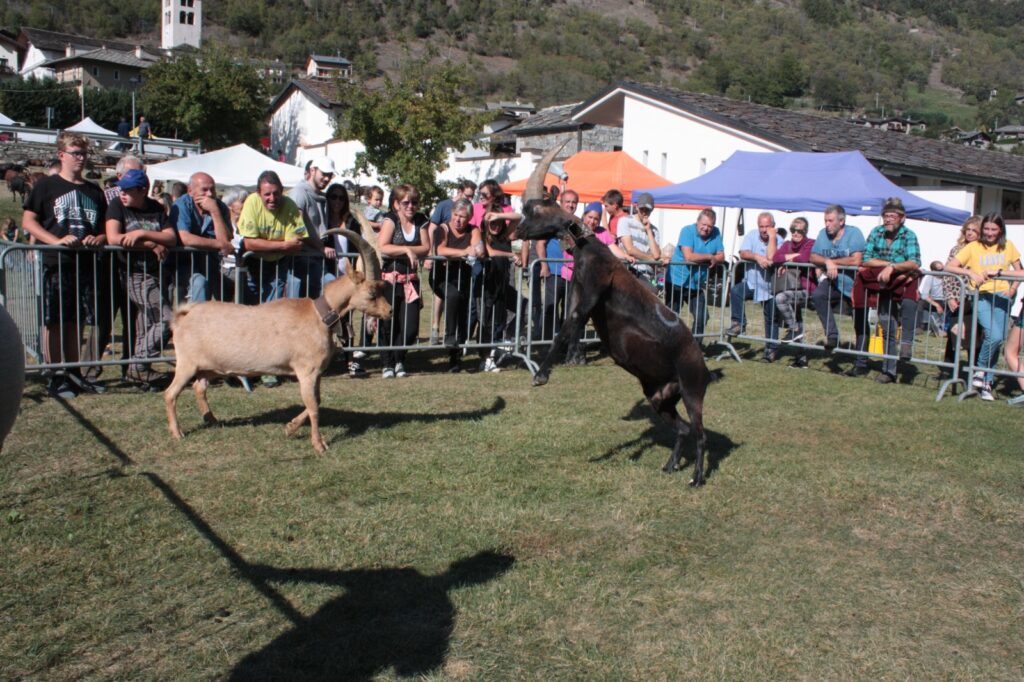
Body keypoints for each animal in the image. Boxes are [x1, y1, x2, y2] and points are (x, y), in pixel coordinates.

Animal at [163, 228, 391, 450]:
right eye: (372, 293)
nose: (389, 311)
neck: (318, 316)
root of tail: (182, 317)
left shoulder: (316, 373)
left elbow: (317, 400)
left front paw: (289, 428)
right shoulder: (306, 371)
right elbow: (313, 406)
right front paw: (319, 444)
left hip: (209, 366)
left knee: (199, 387)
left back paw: (211, 419)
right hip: (186, 363)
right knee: (170, 393)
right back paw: (177, 432)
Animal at [512, 145, 712, 483]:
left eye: (537, 208)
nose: (517, 230)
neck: (588, 248)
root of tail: (702, 364)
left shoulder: (592, 291)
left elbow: (567, 327)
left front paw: (541, 375)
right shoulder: (578, 291)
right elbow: (569, 325)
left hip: (691, 389)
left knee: (699, 433)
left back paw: (696, 478)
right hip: (660, 396)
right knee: (684, 429)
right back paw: (671, 465)